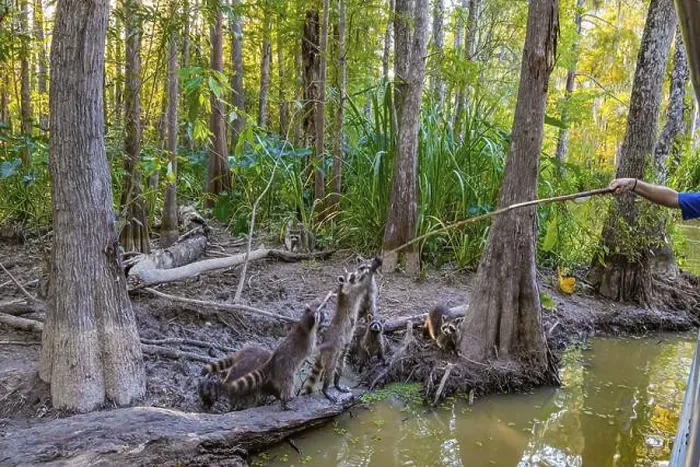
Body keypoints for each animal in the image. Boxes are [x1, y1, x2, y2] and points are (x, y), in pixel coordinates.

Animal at [301, 256, 382, 402]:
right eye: (351, 276)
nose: (358, 274)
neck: (343, 287)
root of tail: (323, 346)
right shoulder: (352, 292)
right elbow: (363, 285)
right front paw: (373, 268)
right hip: (332, 351)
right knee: (330, 369)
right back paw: (326, 389)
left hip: (343, 347)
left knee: (340, 364)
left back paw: (337, 383)